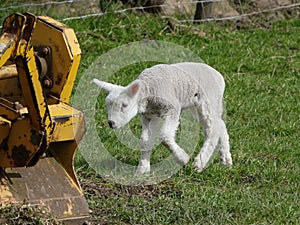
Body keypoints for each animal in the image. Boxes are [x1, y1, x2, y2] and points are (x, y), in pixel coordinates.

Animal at [92, 61, 233, 174]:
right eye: (107, 105)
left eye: (124, 105)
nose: (111, 123)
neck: (149, 88)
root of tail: (219, 76)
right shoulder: (149, 116)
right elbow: (145, 141)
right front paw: (142, 169)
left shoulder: (172, 109)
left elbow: (164, 136)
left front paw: (183, 158)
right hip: (198, 104)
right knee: (220, 124)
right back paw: (226, 160)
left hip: (208, 100)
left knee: (212, 130)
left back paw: (199, 163)